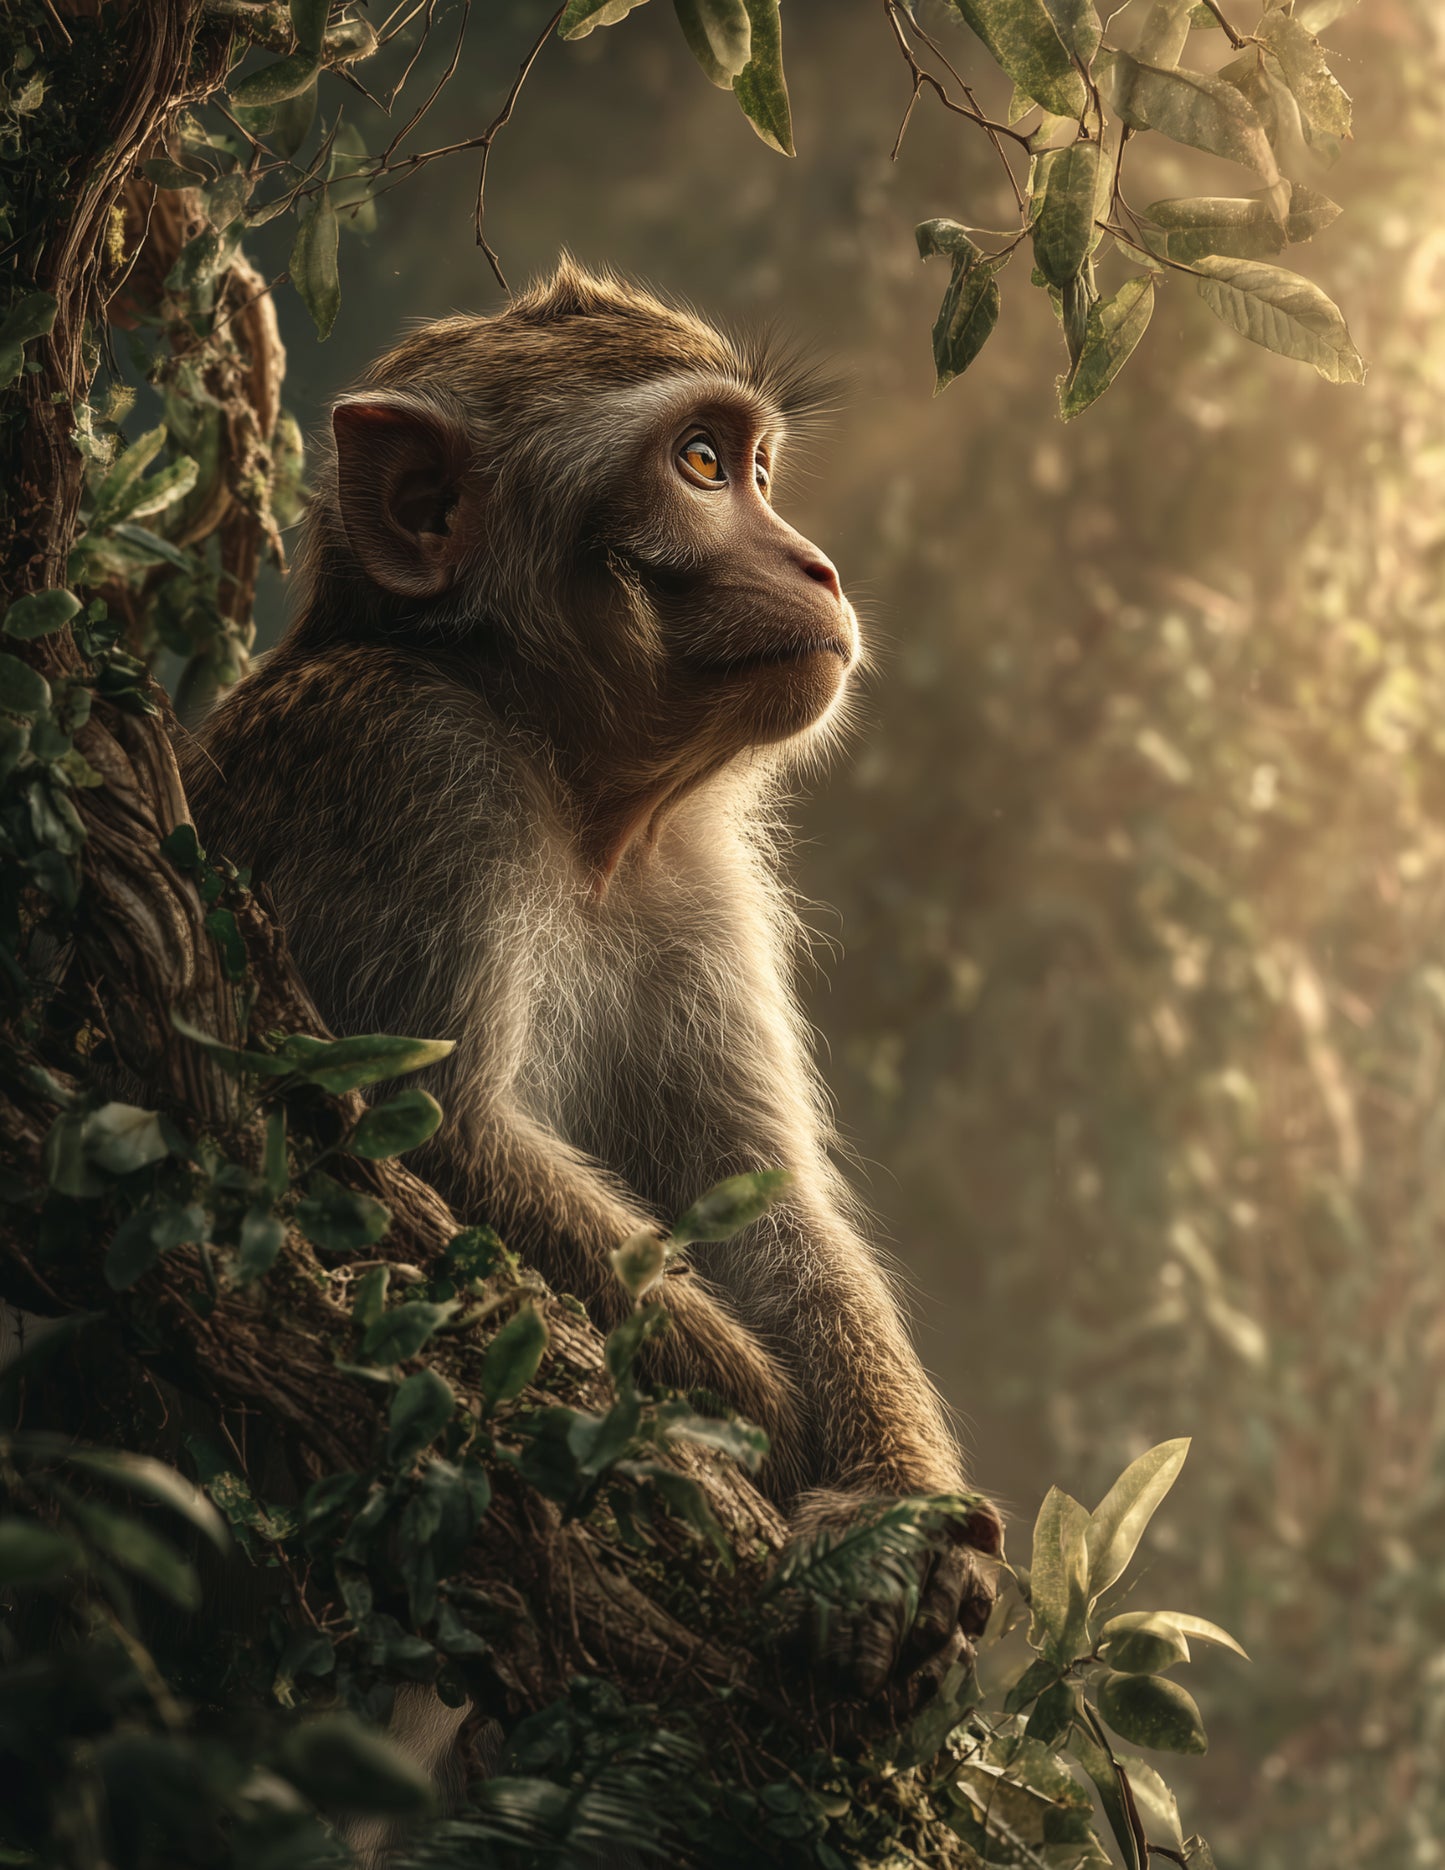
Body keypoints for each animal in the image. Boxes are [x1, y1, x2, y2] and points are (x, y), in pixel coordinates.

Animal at [180, 260, 1001, 1718]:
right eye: (699, 465)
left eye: (758, 467)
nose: (815, 563)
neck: (570, 786)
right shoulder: (410, 764)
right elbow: (420, 1141)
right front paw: (766, 1430)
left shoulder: (695, 875)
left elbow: (755, 1202)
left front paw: (897, 1525)